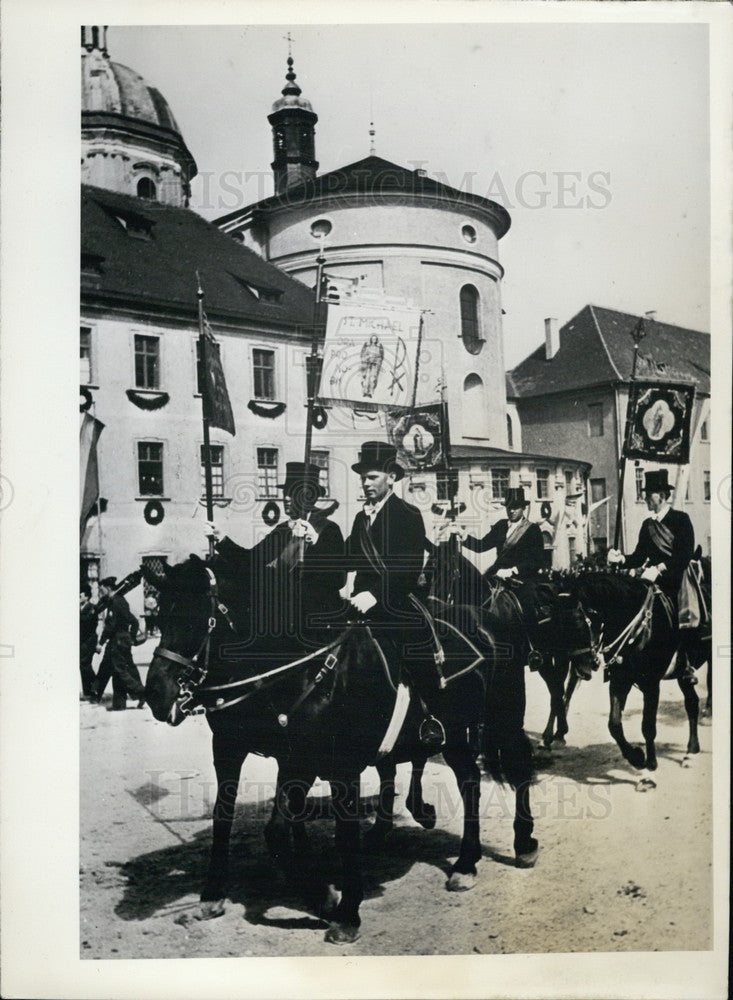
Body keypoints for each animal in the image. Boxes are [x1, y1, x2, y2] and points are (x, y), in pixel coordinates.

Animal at [143, 552, 532, 940]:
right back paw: (460, 858)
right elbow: (246, 822)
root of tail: (490, 614)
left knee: (516, 765)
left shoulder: (335, 765)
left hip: (500, 716)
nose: (156, 693)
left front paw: (344, 910)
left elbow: (339, 833)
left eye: (196, 618)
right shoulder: (255, 752)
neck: (308, 667)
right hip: (454, 734)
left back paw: (518, 846)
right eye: (159, 616)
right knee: (467, 781)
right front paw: (219, 895)